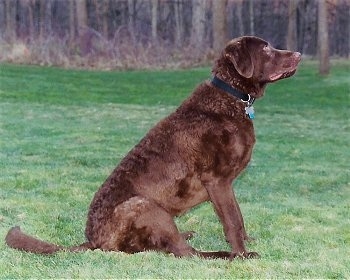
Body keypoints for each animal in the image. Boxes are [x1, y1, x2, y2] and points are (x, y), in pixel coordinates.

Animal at [4, 36, 300, 260]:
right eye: (265, 49)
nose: (298, 53)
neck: (232, 98)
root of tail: (94, 241)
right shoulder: (218, 180)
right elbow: (232, 221)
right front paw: (242, 253)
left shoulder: (226, 185)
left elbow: (238, 214)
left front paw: (248, 241)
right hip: (144, 206)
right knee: (185, 252)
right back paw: (220, 254)